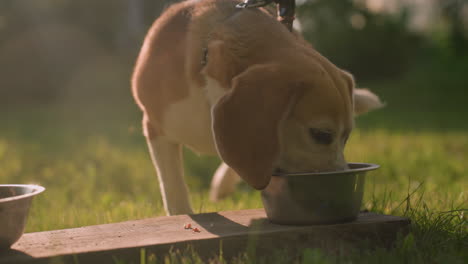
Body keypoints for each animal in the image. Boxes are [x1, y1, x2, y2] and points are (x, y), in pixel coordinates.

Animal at [132, 0, 384, 216]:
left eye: (346, 137)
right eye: (321, 135)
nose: (343, 175)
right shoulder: (155, 128)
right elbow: (173, 185)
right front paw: (181, 214)